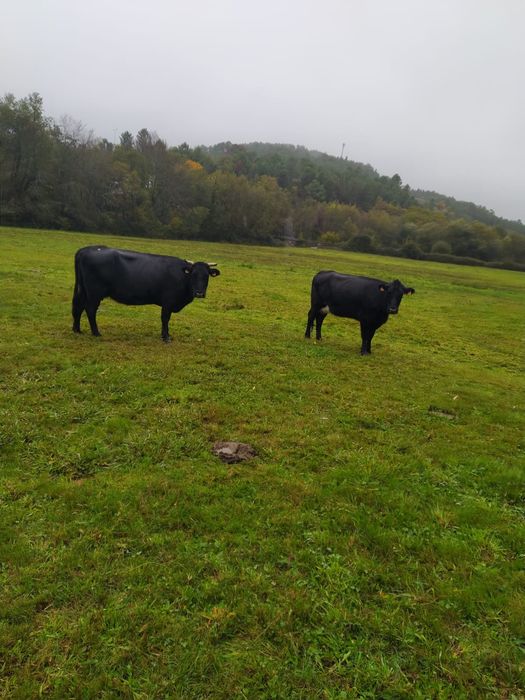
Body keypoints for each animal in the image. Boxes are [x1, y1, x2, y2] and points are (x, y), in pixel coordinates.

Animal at [72, 246, 220, 341]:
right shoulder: (168, 302)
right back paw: (96, 333)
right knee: (90, 310)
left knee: (78, 307)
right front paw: (166, 337)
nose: (199, 293)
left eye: (206, 276)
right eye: (193, 275)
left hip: (82, 290)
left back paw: (77, 330)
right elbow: (165, 318)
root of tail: (85, 250)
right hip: (94, 293)